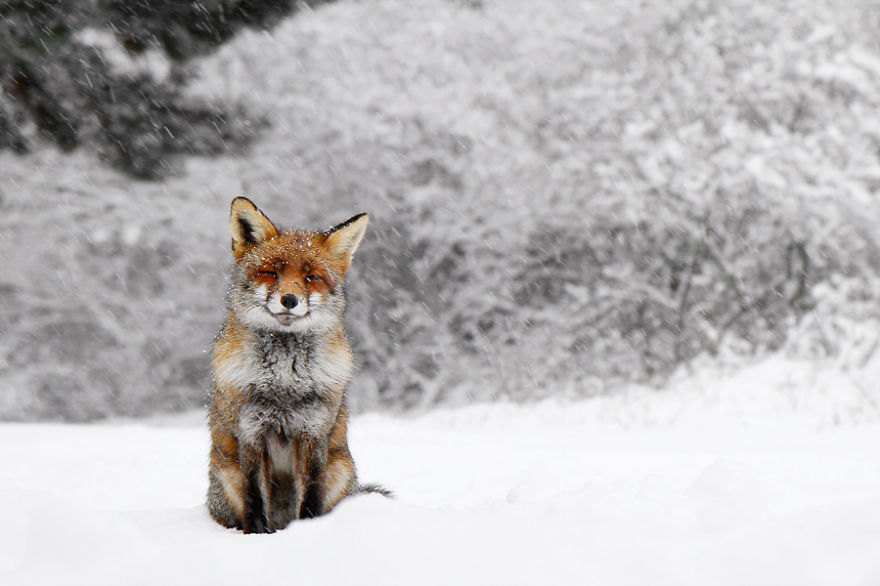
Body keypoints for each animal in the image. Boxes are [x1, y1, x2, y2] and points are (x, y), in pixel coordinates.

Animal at [207, 196, 385, 533]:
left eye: (311, 277)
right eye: (270, 273)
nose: (289, 299)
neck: (284, 380)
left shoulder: (313, 432)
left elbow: (311, 496)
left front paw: (307, 534)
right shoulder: (251, 432)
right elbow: (255, 498)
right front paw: (256, 536)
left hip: (339, 469)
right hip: (227, 472)